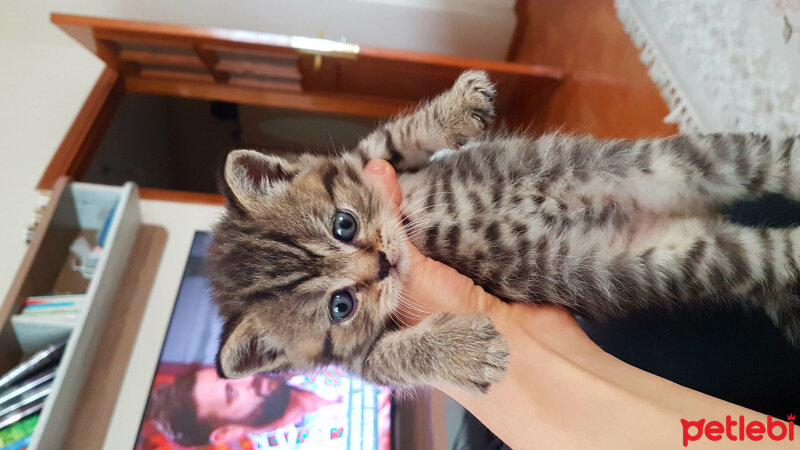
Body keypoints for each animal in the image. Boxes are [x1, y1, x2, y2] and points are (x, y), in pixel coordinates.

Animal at [208, 70, 800, 394]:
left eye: (344, 224)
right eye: (340, 306)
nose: (383, 262)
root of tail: (696, 214)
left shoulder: (370, 161)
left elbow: (395, 137)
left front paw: (457, 108)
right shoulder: (355, 359)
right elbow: (391, 361)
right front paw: (465, 351)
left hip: (683, 163)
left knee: (763, 162)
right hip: (693, 257)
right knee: (773, 252)